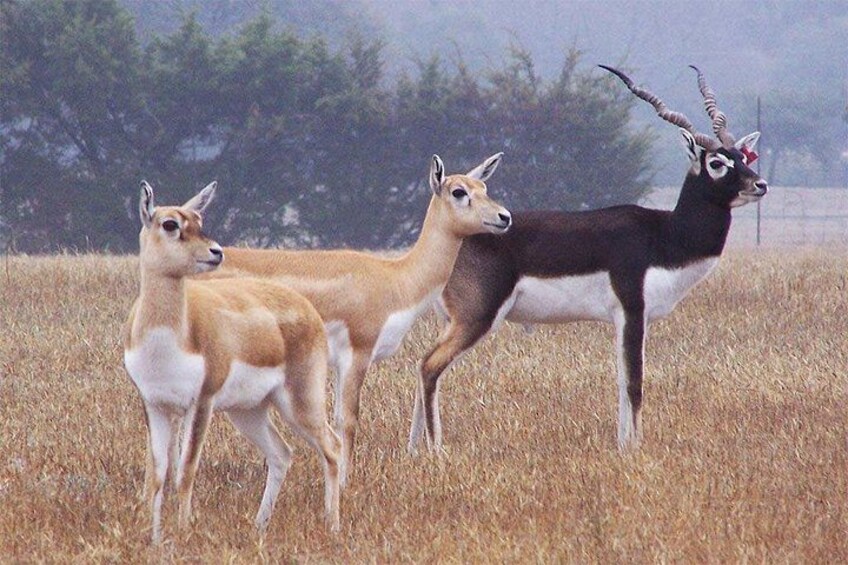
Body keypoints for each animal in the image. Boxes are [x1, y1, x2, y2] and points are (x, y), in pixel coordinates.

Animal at [123, 180, 341, 544]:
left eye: (199, 219)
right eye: (170, 224)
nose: (216, 252)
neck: (168, 338)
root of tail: (306, 306)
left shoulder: (202, 402)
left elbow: (186, 471)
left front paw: (183, 532)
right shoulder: (155, 404)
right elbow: (157, 475)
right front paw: (153, 538)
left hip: (300, 402)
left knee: (332, 447)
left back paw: (332, 525)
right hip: (248, 411)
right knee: (281, 454)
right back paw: (259, 525)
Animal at [209, 154, 512, 485]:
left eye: (483, 187)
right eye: (459, 191)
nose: (504, 217)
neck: (396, 279)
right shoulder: (358, 353)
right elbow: (348, 419)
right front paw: (346, 481)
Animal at [407, 65, 768, 453]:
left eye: (743, 157)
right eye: (716, 163)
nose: (760, 185)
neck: (664, 235)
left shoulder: (627, 320)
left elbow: (622, 382)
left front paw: (623, 446)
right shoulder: (632, 311)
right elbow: (635, 384)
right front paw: (635, 450)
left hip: (451, 320)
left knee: (423, 366)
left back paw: (412, 450)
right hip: (477, 318)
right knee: (430, 366)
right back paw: (436, 450)